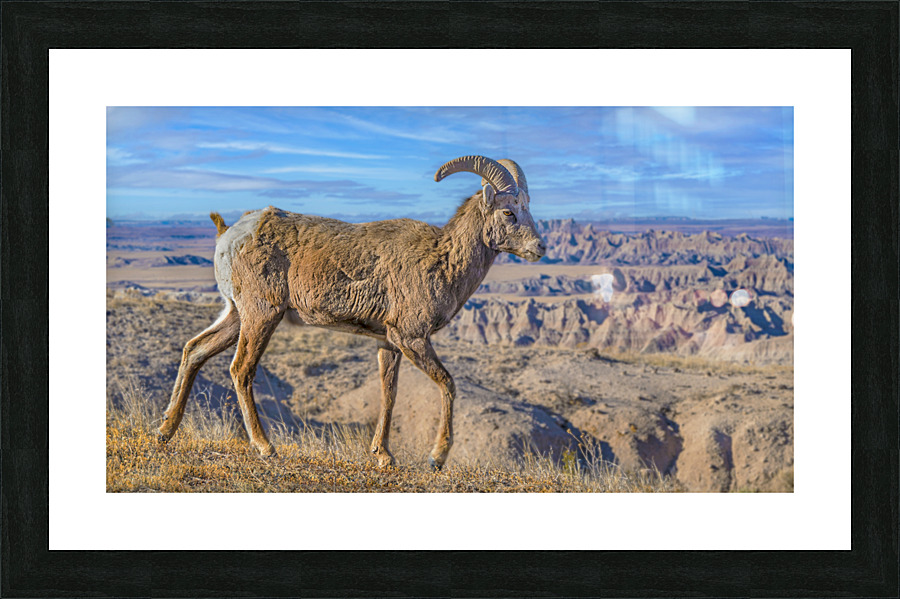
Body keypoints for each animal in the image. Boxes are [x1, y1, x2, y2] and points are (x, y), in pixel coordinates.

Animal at [157, 155, 546, 470]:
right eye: (509, 212)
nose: (539, 248)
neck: (442, 260)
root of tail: (229, 234)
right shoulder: (412, 338)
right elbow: (447, 384)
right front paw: (436, 459)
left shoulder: (389, 343)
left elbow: (389, 393)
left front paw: (384, 456)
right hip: (261, 315)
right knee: (241, 370)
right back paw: (266, 448)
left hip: (236, 315)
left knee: (194, 350)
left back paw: (165, 431)